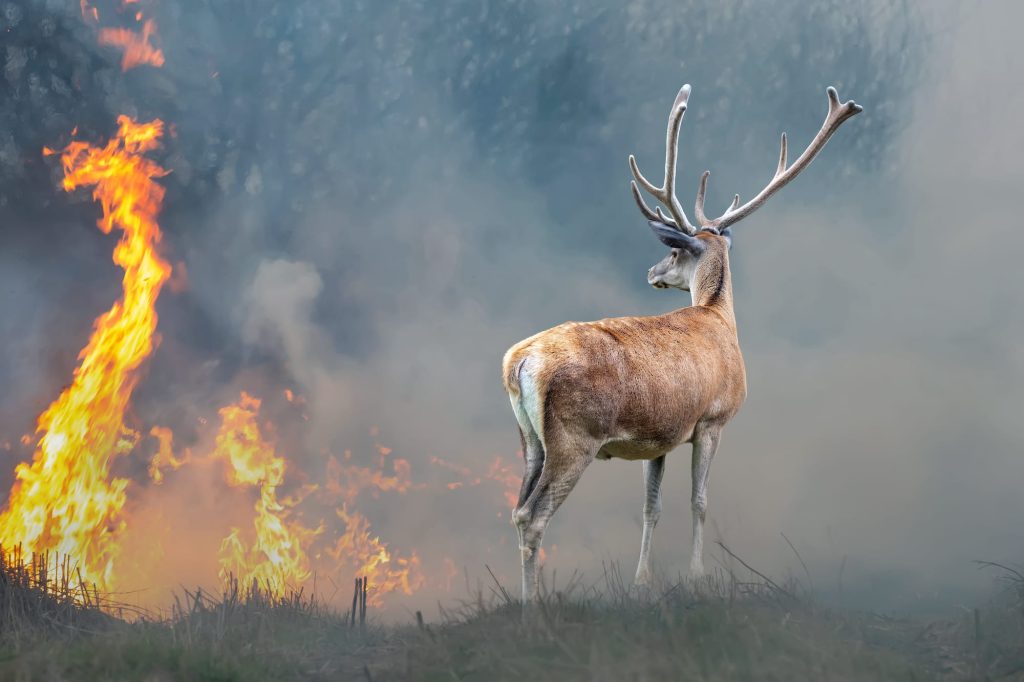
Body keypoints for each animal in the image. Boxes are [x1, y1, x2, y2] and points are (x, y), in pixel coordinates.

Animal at [499, 82, 860, 598]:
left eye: (672, 253)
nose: (651, 272)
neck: (719, 318)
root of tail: (520, 362)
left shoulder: (659, 437)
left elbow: (653, 506)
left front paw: (642, 582)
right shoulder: (712, 419)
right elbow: (699, 501)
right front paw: (696, 576)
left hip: (529, 439)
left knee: (516, 510)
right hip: (574, 436)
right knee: (533, 516)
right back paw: (533, 604)